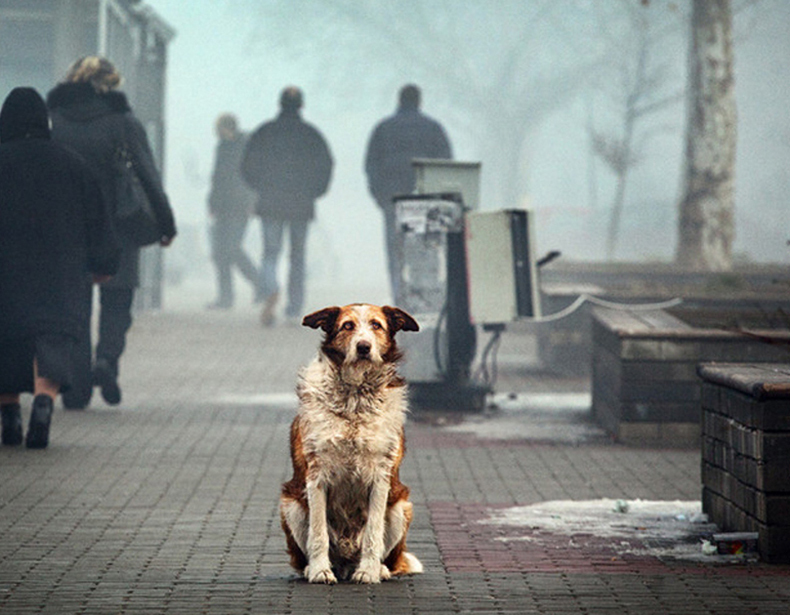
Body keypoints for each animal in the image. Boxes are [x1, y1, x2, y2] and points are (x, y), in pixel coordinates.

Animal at [282, 306, 424, 584]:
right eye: (347, 325)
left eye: (377, 325)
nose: (363, 347)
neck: (355, 397)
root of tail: (346, 564)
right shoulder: (316, 477)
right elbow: (319, 534)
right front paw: (320, 571)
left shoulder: (380, 478)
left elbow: (373, 533)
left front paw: (368, 571)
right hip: (290, 505)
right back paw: (313, 568)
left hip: (401, 506)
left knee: (386, 553)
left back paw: (379, 569)